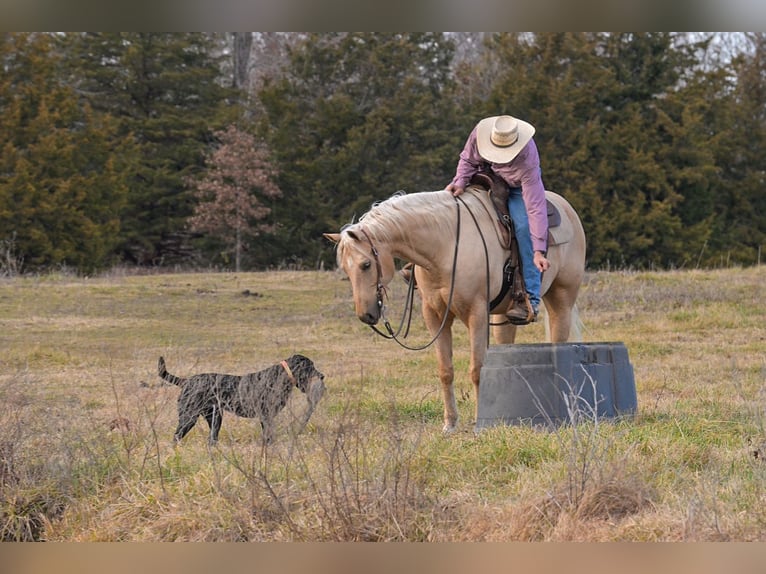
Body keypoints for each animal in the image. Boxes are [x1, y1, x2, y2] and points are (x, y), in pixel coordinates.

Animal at [324, 185, 586, 433]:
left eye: (366, 264)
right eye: (346, 270)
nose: (366, 315)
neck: (446, 246)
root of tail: (567, 208)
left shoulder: (476, 314)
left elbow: (477, 369)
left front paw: (480, 421)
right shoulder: (434, 315)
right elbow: (445, 370)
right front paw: (450, 423)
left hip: (561, 298)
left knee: (560, 343)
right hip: (507, 313)